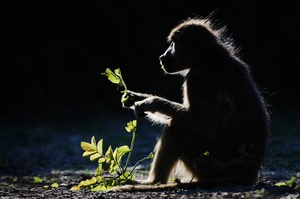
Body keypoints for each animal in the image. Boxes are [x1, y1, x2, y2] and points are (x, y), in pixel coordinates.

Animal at [120, 16, 270, 190]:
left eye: (173, 44)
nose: (162, 57)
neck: (208, 58)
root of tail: (249, 172)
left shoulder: (196, 80)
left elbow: (204, 126)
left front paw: (150, 102)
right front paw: (133, 97)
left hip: (209, 164)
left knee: (178, 126)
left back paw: (154, 182)